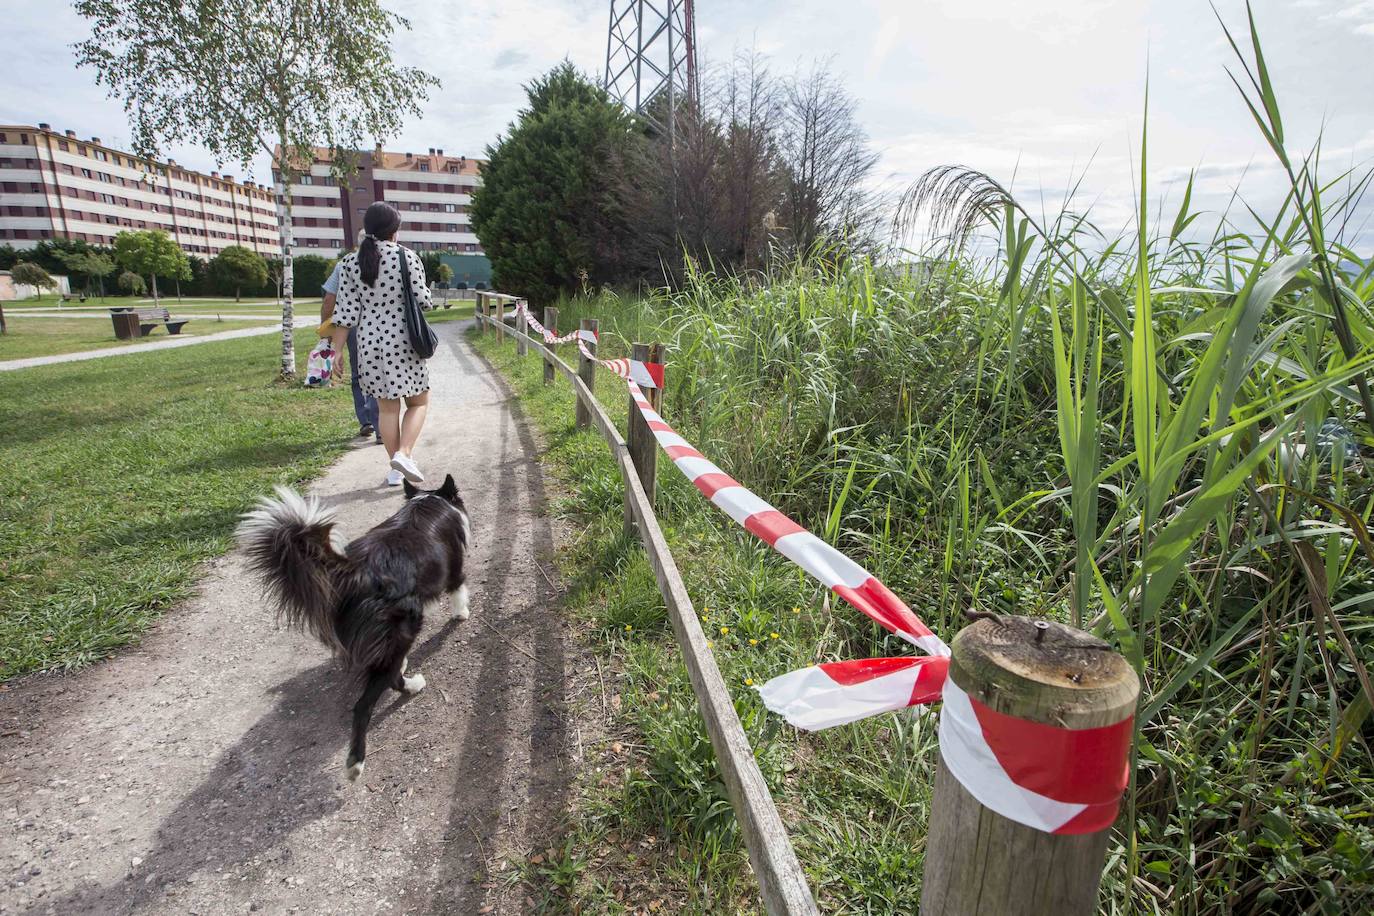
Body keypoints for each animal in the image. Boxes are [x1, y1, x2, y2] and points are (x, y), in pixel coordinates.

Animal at [237, 477, 472, 785]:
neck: (429, 500)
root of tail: (353, 572)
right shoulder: (455, 568)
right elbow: (459, 591)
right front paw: (461, 614)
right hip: (406, 625)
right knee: (367, 701)